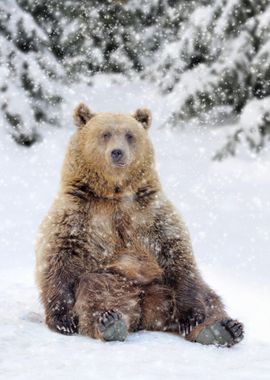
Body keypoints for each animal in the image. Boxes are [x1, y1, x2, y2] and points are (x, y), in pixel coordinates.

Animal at [34, 102, 244, 346]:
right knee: (95, 288)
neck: (114, 193)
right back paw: (110, 322)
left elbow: (178, 254)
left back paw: (222, 328)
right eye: (105, 134)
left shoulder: (150, 211)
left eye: (130, 135)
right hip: (117, 282)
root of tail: (146, 312)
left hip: (161, 285)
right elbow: (59, 255)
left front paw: (193, 317)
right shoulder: (78, 212)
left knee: (208, 296)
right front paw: (62, 319)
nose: (117, 152)